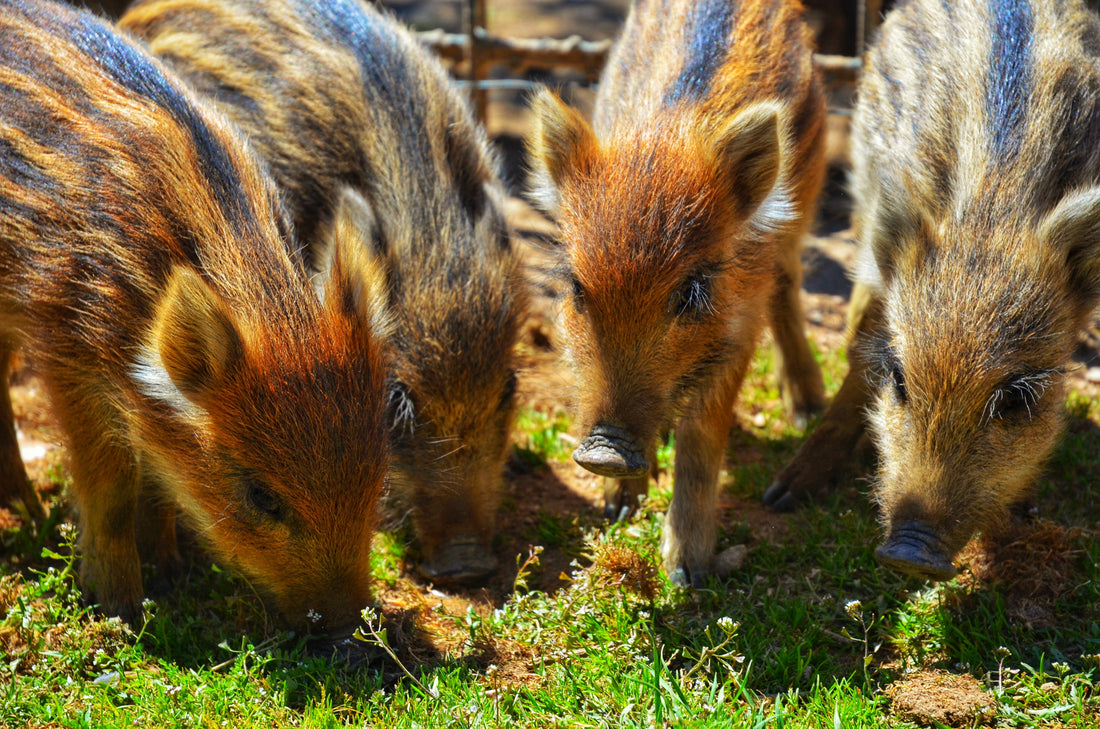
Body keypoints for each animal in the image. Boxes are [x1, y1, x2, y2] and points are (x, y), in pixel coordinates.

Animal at [0, 0, 391, 633]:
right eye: (262, 497)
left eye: (378, 474)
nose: (342, 624)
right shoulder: (66, 346)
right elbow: (112, 486)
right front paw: (120, 609)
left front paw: (169, 570)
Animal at [527, 0, 827, 586]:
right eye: (576, 288)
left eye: (690, 292)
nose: (604, 451)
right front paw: (617, 510)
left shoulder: (739, 324)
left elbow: (703, 433)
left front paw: (687, 571)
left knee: (788, 282)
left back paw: (807, 412)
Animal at [765, 0, 1100, 580]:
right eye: (899, 380)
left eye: (1017, 398)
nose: (910, 553)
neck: (993, 205)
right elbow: (860, 364)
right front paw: (780, 497)